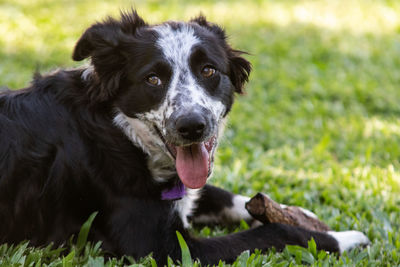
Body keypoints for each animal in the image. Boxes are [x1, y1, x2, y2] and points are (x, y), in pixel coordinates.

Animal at [0, 9, 368, 266]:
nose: (192, 126)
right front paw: (345, 238)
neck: (121, 133)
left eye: (208, 70)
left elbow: (222, 195)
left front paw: (299, 212)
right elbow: (274, 232)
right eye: (152, 79)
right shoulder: (162, 249)